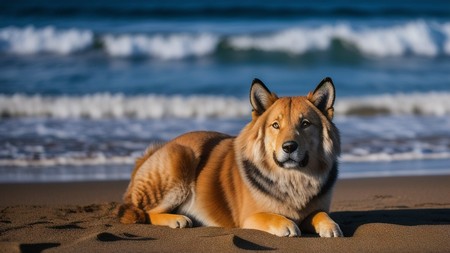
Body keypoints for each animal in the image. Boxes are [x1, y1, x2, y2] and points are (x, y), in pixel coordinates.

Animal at [118, 77, 342, 237]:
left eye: (305, 124)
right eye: (275, 125)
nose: (289, 147)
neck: (292, 177)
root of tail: (146, 157)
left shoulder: (316, 209)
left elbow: (320, 213)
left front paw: (330, 225)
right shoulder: (249, 217)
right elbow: (272, 217)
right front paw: (286, 223)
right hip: (181, 157)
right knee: (148, 212)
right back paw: (176, 219)